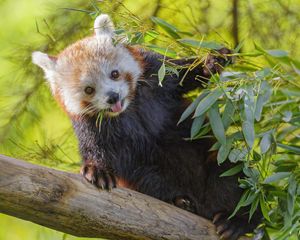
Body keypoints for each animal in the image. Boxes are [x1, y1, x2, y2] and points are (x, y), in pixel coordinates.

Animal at [31, 14, 258, 239]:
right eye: (89, 89)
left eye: (114, 74)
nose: (113, 97)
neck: (129, 109)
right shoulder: (92, 126)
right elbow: (96, 149)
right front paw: (96, 169)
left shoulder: (155, 74)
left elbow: (184, 74)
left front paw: (213, 60)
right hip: (149, 175)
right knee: (151, 181)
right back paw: (180, 201)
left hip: (220, 159)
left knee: (232, 173)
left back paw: (236, 221)